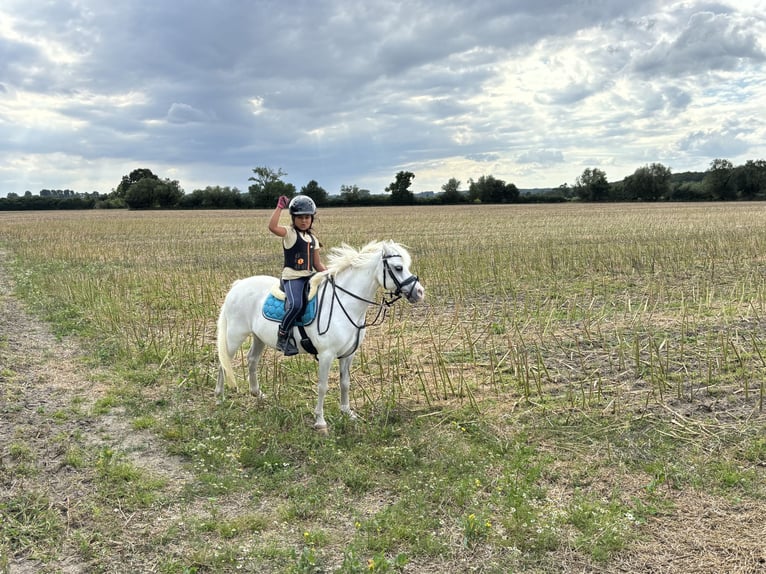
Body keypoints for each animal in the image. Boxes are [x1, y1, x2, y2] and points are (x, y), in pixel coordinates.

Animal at [216, 238, 426, 432]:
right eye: (398, 267)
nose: (419, 292)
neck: (346, 304)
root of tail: (238, 285)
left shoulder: (349, 354)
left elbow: (345, 382)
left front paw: (347, 412)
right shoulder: (326, 355)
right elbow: (323, 386)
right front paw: (320, 422)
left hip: (258, 337)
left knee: (252, 359)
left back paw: (257, 393)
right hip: (235, 335)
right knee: (224, 361)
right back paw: (219, 397)